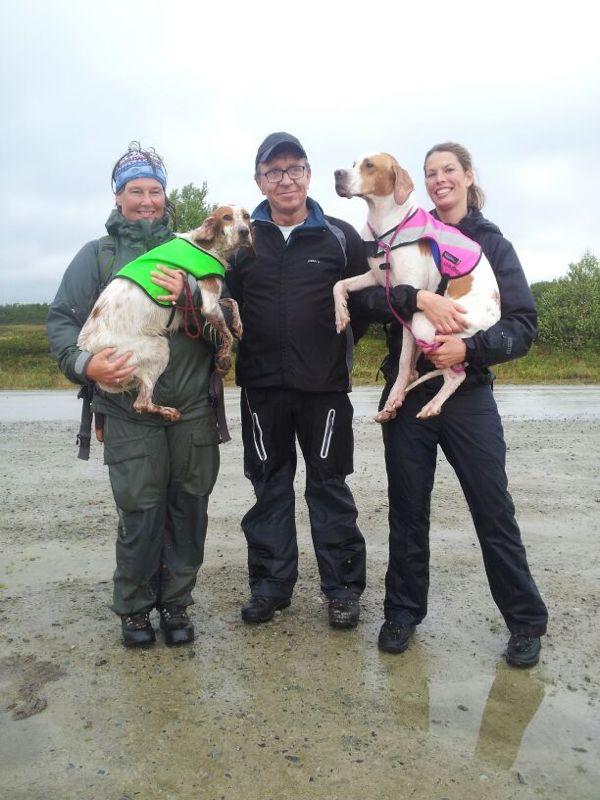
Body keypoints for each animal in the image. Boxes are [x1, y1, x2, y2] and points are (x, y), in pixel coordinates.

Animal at [77, 203, 251, 422]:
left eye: (246, 216)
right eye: (227, 217)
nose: (244, 232)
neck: (207, 245)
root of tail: (89, 346)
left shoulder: (210, 299)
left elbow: (232, 302)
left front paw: (238, 324)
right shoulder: (209, 303)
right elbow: (226, 333)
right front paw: (226, 359)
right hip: (159, 347)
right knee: (141, 403)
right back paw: (169, 412)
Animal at [332, 152, 502, 422]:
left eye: (369, 165)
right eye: (352, 164)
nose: (337, 174)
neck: (385, 223)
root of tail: (494, 317)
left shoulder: (409, 303)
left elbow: (402, 363)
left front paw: (393, 396)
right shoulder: (375, 277)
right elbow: (339, 285)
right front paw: (341, 314)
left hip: (425, 323)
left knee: (455, 375)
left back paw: (431, 404)